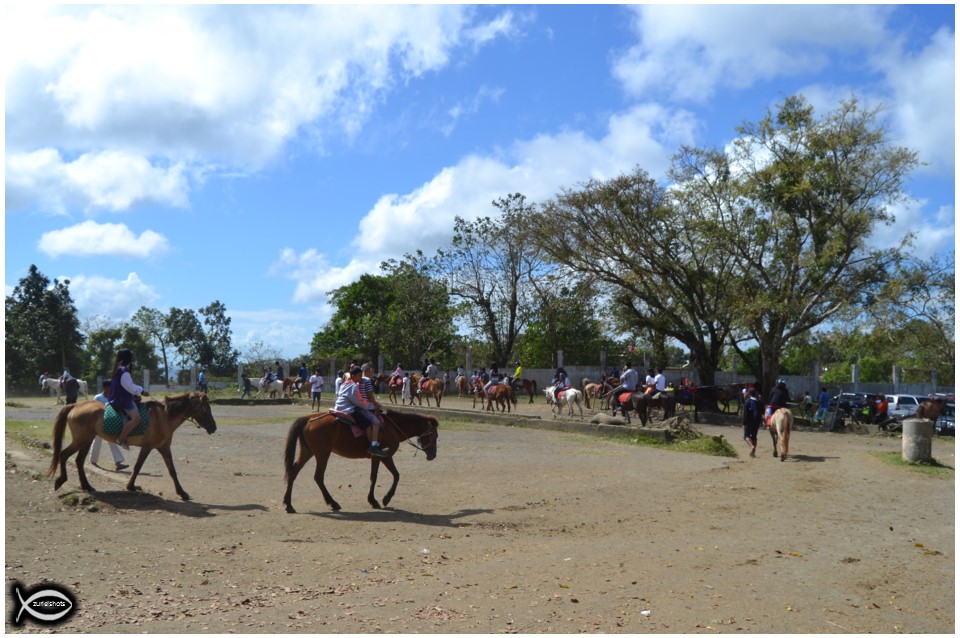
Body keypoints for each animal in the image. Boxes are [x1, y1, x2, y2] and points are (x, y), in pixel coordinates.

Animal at [47, 392, 217, 500]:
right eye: (206, 409)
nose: (214, 428)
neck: (164, 416)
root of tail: (75, 405)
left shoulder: (164, 447)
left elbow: (172, 471)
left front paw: (182, 493)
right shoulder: (147, 447)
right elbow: (138, 466)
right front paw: (130, 486)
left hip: (87, 440)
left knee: (79, 461)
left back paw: (87, 486)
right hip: (81, 440)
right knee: (63, 455)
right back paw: (61, 480)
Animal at [281, 409, 439, 512]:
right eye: (434, 435)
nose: (433, 455)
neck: (392, 427)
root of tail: (308, 418)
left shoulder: (378, 457)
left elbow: (377, 477)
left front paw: (374, 500)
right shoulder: (384, 456)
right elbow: (393, 475)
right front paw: (383, 499)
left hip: (308, 452)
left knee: (293, 472)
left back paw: (289, 505)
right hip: (322, 454)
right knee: (318, 477)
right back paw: (333, 503)